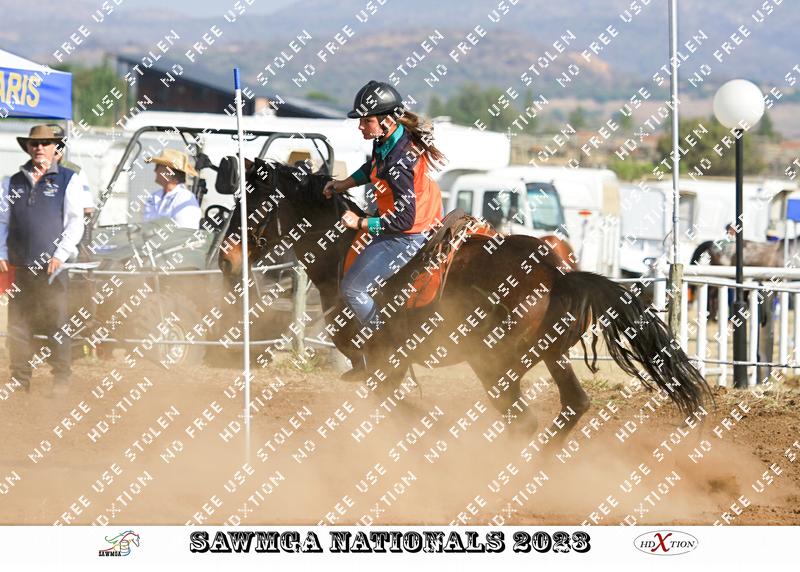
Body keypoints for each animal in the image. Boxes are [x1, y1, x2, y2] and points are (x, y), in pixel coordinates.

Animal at [219, 158, 711, 445]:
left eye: (253, 205)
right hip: (549, 356)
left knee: (523, 419)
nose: (226, 259)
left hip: (493, 365)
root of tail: (557, 274)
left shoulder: (382, 367)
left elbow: (404, 408)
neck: (340, 255)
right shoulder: (388, 370)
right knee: (573, 406)